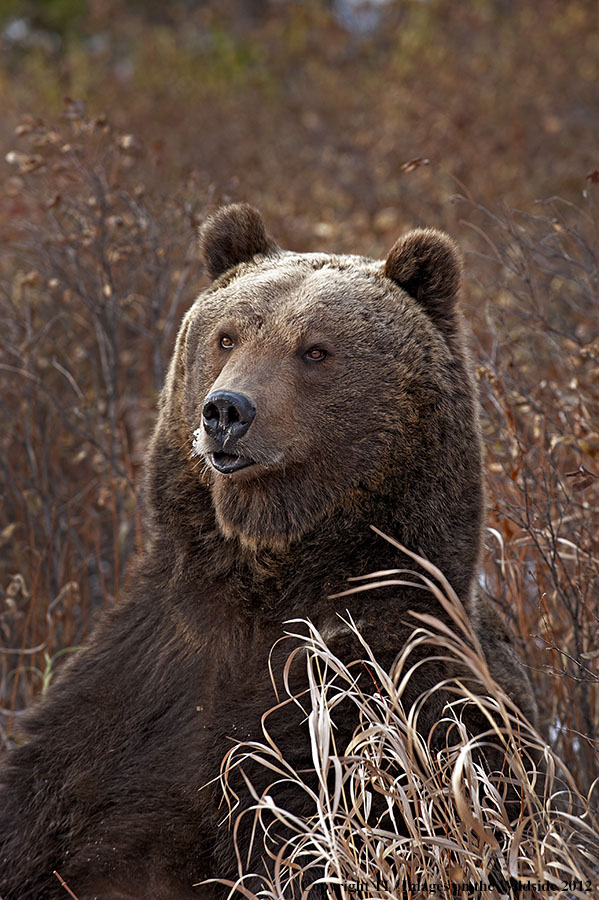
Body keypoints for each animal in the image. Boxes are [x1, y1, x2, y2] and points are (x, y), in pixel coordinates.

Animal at [0, 206, 536, 900]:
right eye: (228, 336)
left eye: (315, 350)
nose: (227, 411)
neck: (263, 579)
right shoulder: (134, 694)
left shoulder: (376, 705)